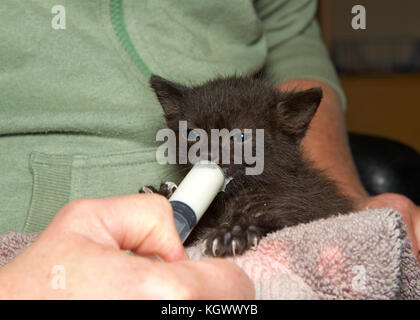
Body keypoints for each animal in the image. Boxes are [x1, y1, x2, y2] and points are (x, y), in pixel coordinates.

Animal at [144, 74, 354, 258]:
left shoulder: (307, 204)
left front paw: (233, 233)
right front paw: (160, 195)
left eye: (240, 137)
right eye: (192, 134)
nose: (209, 155)